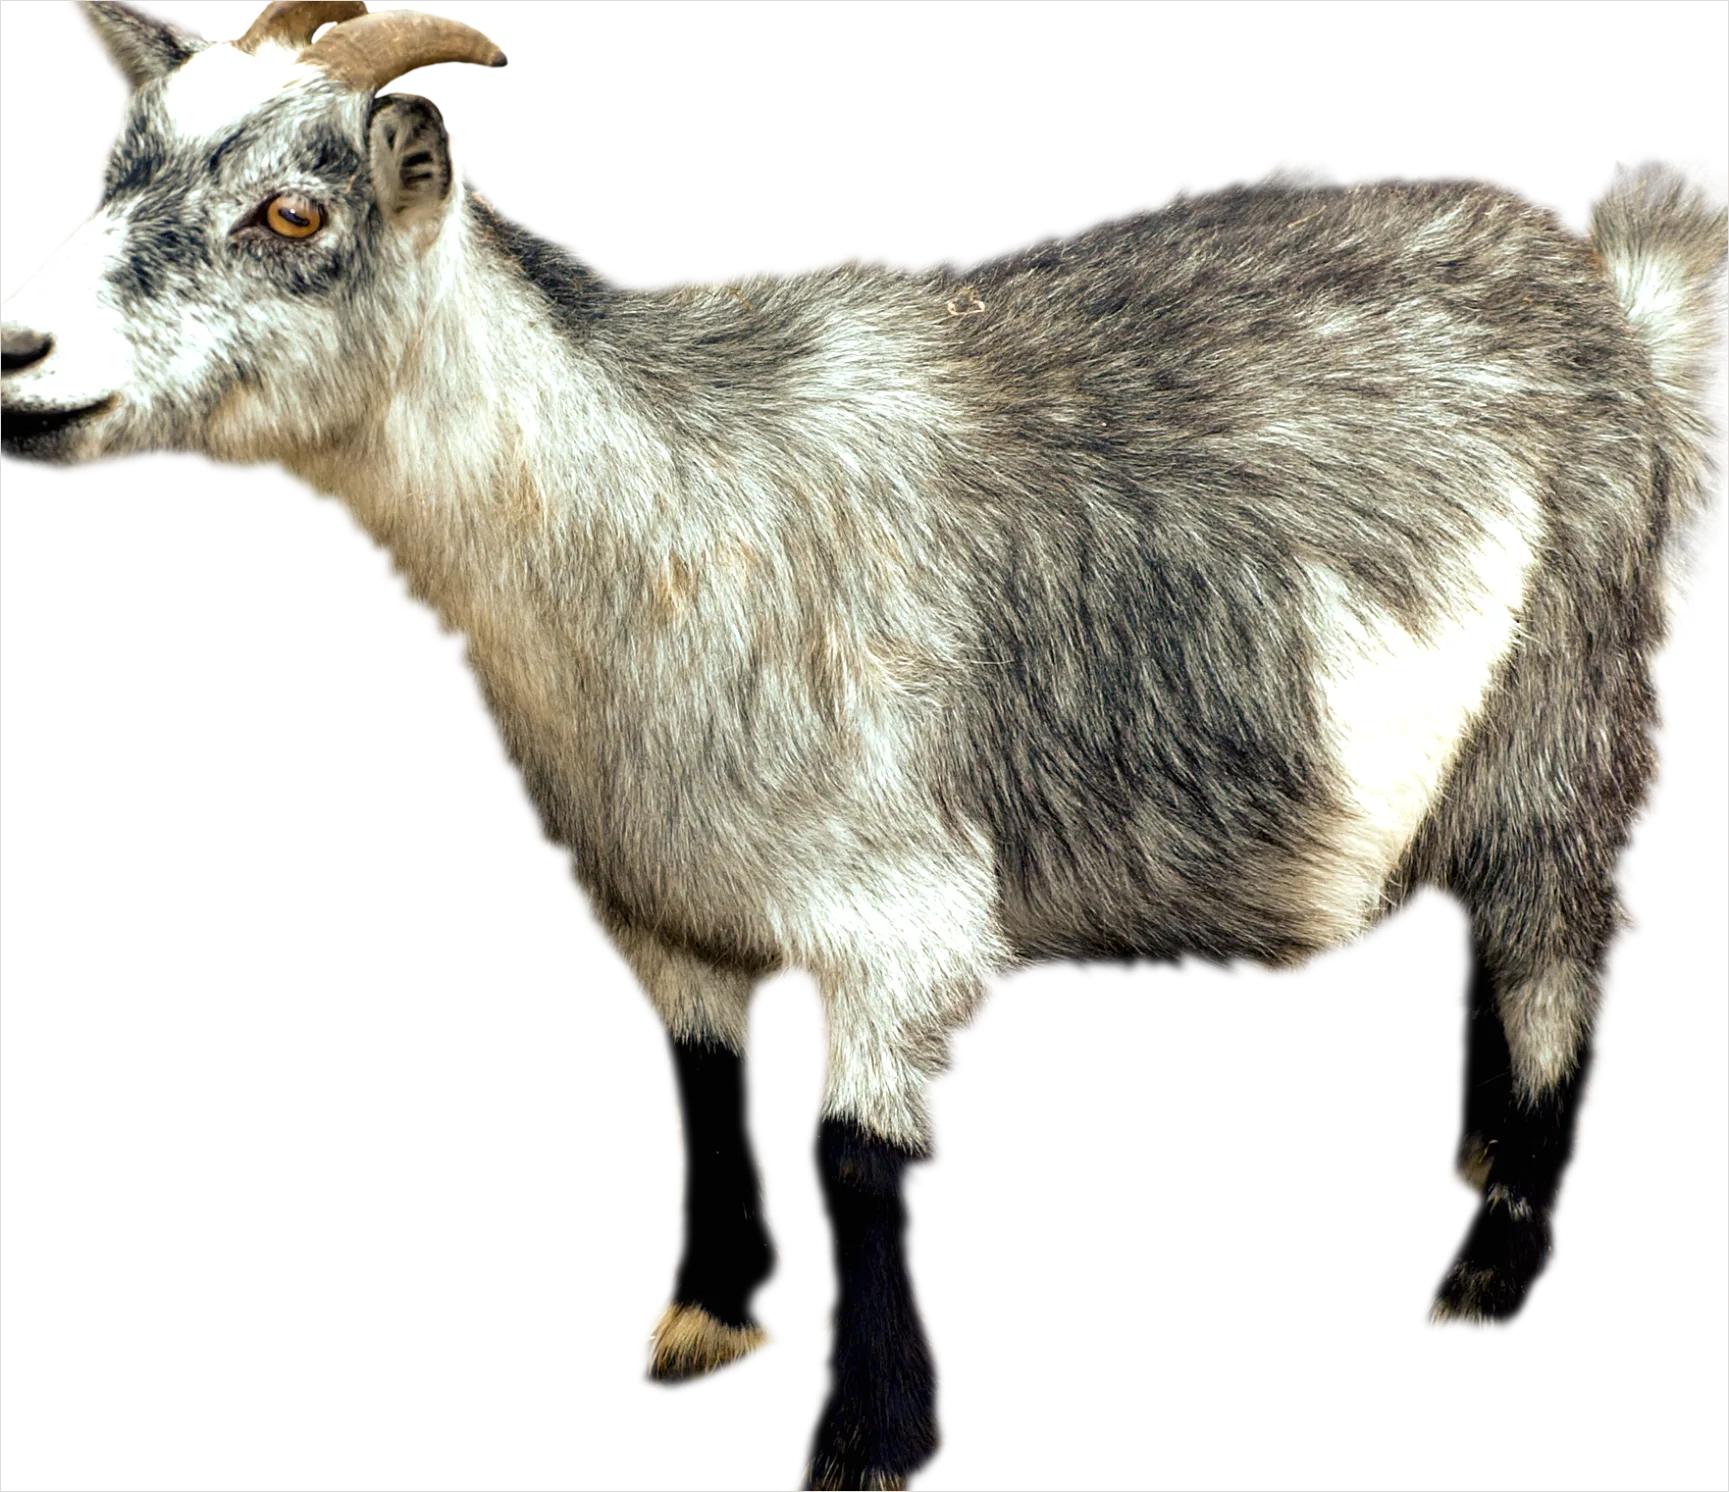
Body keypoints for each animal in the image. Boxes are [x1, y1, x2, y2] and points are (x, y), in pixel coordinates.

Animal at [3, 4, 1724, 1486]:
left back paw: (1487, 1270)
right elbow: (704, 1090)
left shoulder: (909, 922)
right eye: (108, 168)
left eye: (294, 216)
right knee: (1491, 955)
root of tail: (1606, 301)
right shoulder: (650, 901)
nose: (17, 355)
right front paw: (710, 1324)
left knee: (1564, 961)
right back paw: (1470, 1162)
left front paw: (867, 1439)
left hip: (1561, 714)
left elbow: (859, 1161)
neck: (660, 516)